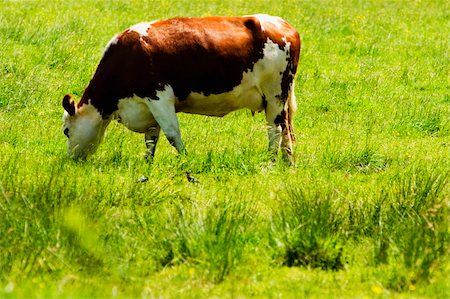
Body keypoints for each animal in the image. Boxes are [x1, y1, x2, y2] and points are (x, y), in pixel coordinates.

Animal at [61, 14, 300, 164]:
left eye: (66, 131)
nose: (71, 160)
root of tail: (285, 25)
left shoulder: (158, 97)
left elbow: (172, 134)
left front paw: (185, 160)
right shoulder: (146, 107)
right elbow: (151, 139)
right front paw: (147, 164)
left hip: (274, 94)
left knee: (275, 131)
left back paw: (269, 163)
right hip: (280, 100)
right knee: (286, 131)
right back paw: (288, 164)